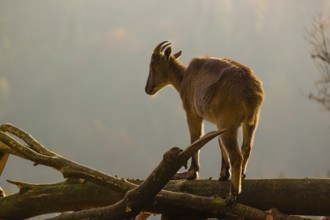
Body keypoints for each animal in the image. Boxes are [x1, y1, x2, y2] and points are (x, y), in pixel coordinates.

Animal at [146, 40, 264, 203]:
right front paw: (223, 174)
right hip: (250, 122)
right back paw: (241, 176)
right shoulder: (217, 122)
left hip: (229, 122)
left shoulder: (192, 113)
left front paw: (191, 173)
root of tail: (251, 93)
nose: (147, 88)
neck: (184, 78)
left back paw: (232, 195)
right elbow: (218, 142)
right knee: (246, 148)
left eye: (153, 64)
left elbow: (196, 138)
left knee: (236, 156)